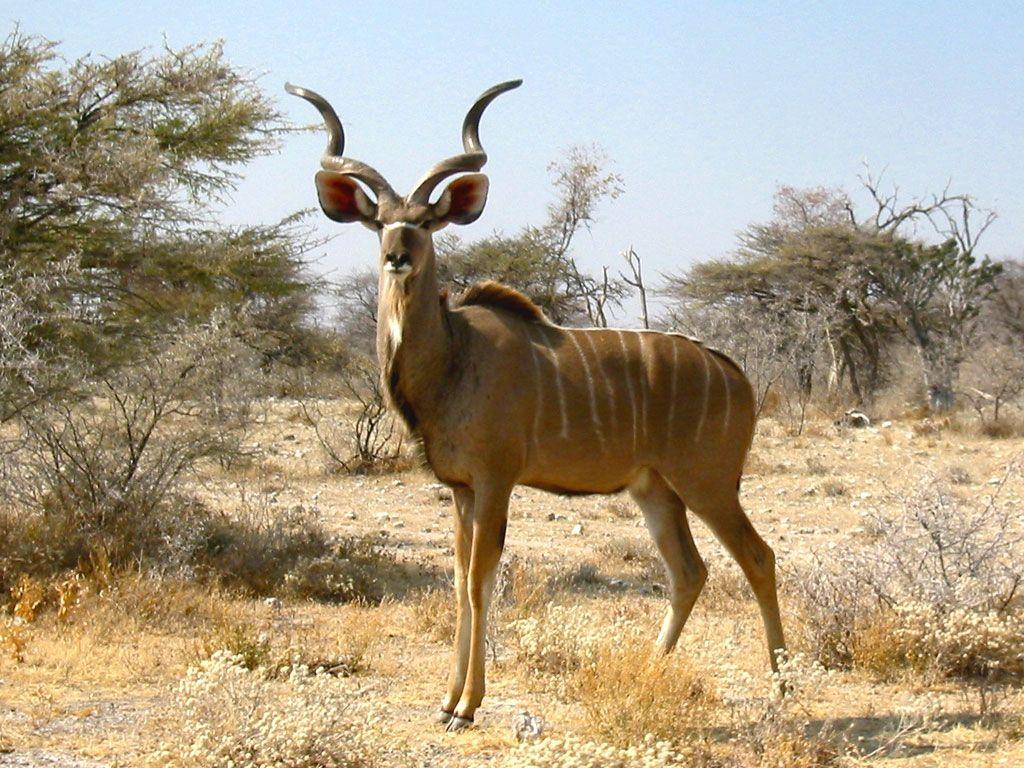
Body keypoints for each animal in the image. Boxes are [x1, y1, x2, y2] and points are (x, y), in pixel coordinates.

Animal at [288, 79, 782, 733]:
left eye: (425, 222)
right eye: (381, 225)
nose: (397, 255)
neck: (452, 357)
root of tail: (735, 374)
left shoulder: (496, 480)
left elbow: (479, 581)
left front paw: (467, 707)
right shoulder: (460, 488)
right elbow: (456, 580)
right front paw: (447, 699)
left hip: (708, 483)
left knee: (757, 556)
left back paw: (784, 686)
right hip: (655, 489)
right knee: (688, 571)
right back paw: (650, 670)